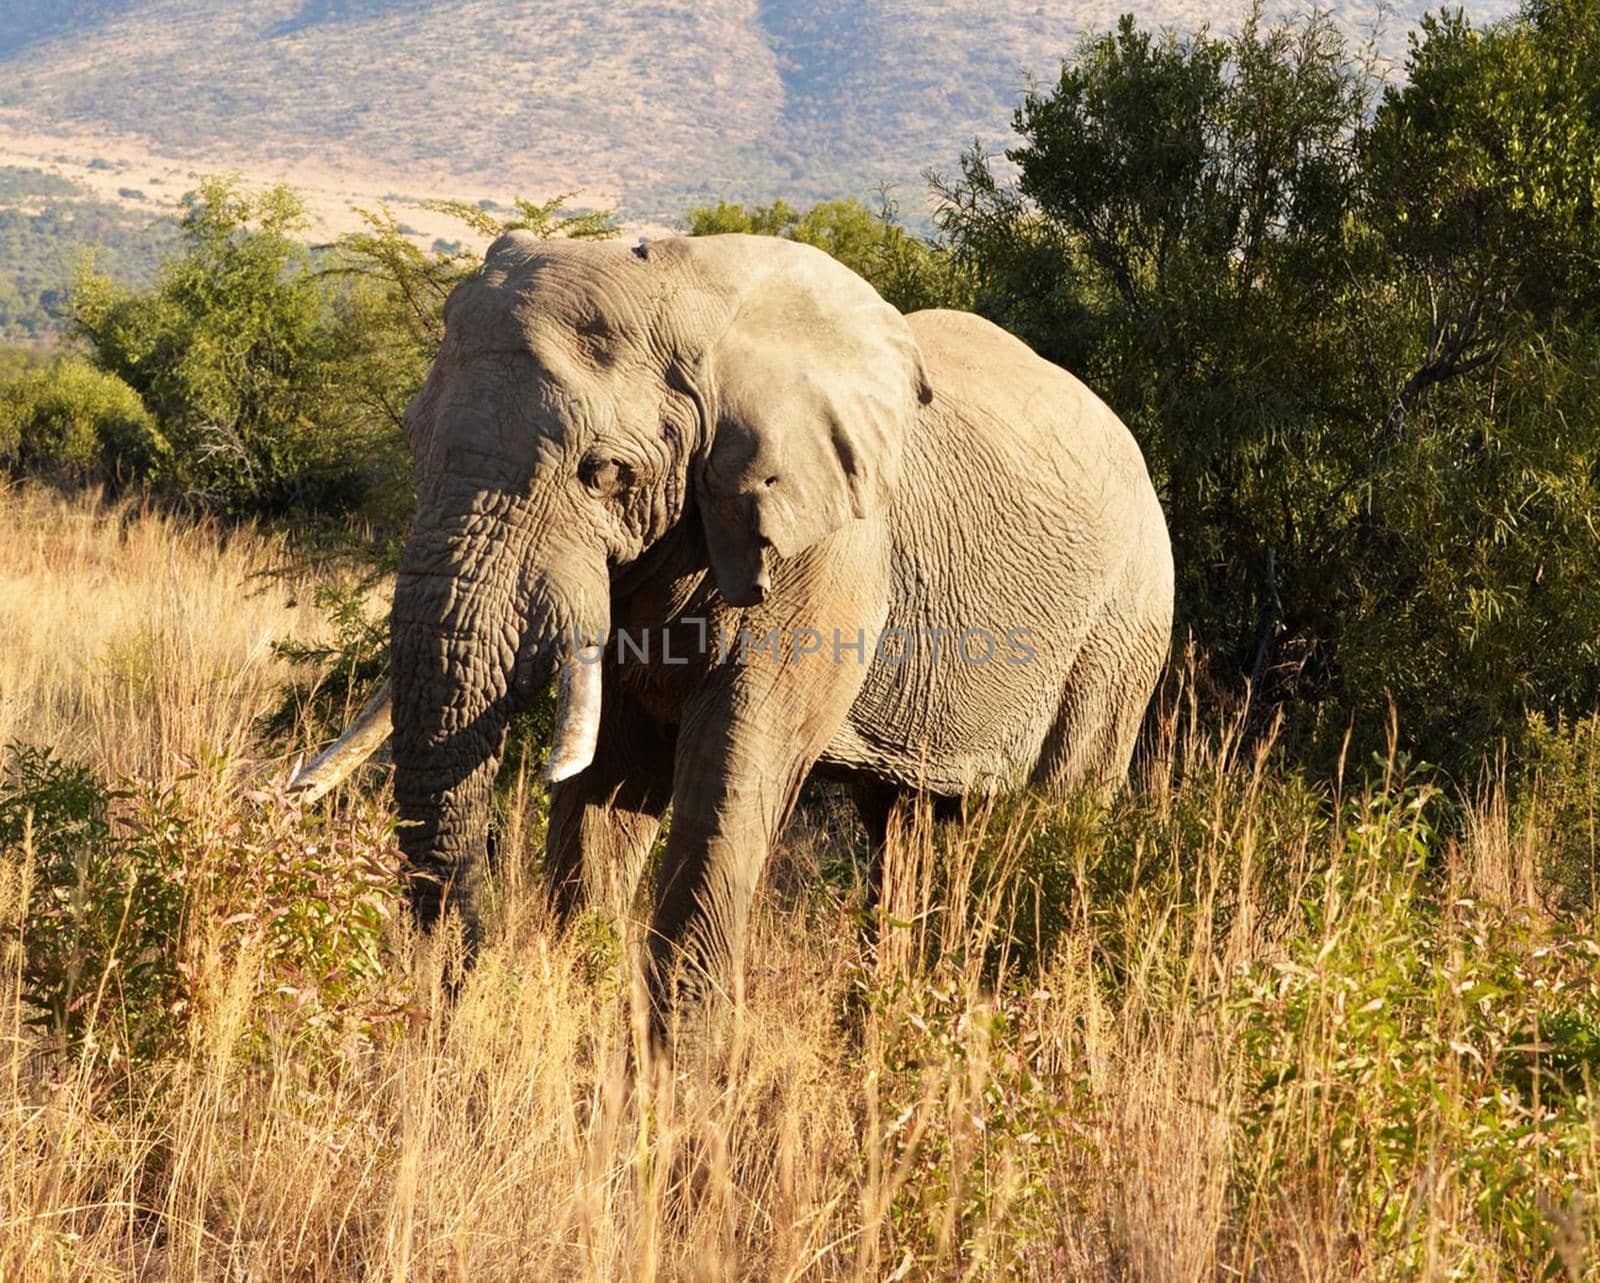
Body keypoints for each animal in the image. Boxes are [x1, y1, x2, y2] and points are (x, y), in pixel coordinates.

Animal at [297, 227, 1177, 1030]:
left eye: (604, 472)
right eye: (415, 443)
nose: (467, 985)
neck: (687, 298)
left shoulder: (825, 553)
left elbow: (730, 778)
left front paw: (681, 1073)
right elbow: (607, 786)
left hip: (1125, 623)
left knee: (1059, 810)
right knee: (905, 826)